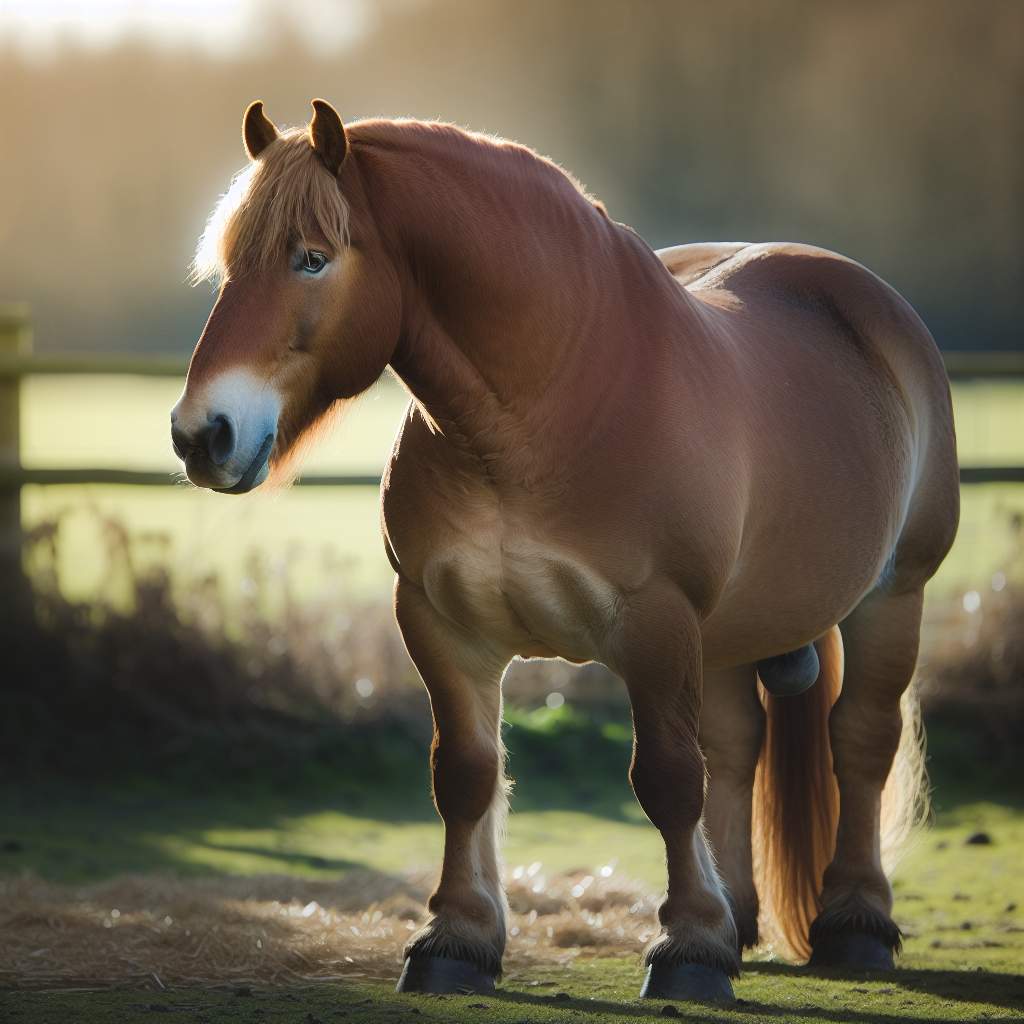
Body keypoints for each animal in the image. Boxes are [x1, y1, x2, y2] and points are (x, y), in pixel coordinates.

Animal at [169, 99, 958, 1003]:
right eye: (230, 264)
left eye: (312, 258)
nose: (201, 435)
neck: (545, 411)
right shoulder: (442, 623)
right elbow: (466, 774)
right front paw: (457, 938)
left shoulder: (657, 626)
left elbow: (666, 780)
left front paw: (687, 948)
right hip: (728, 632)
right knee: (736, 748)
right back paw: (738, 917)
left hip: (892, 596)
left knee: (857, 740)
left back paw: (854, 923)